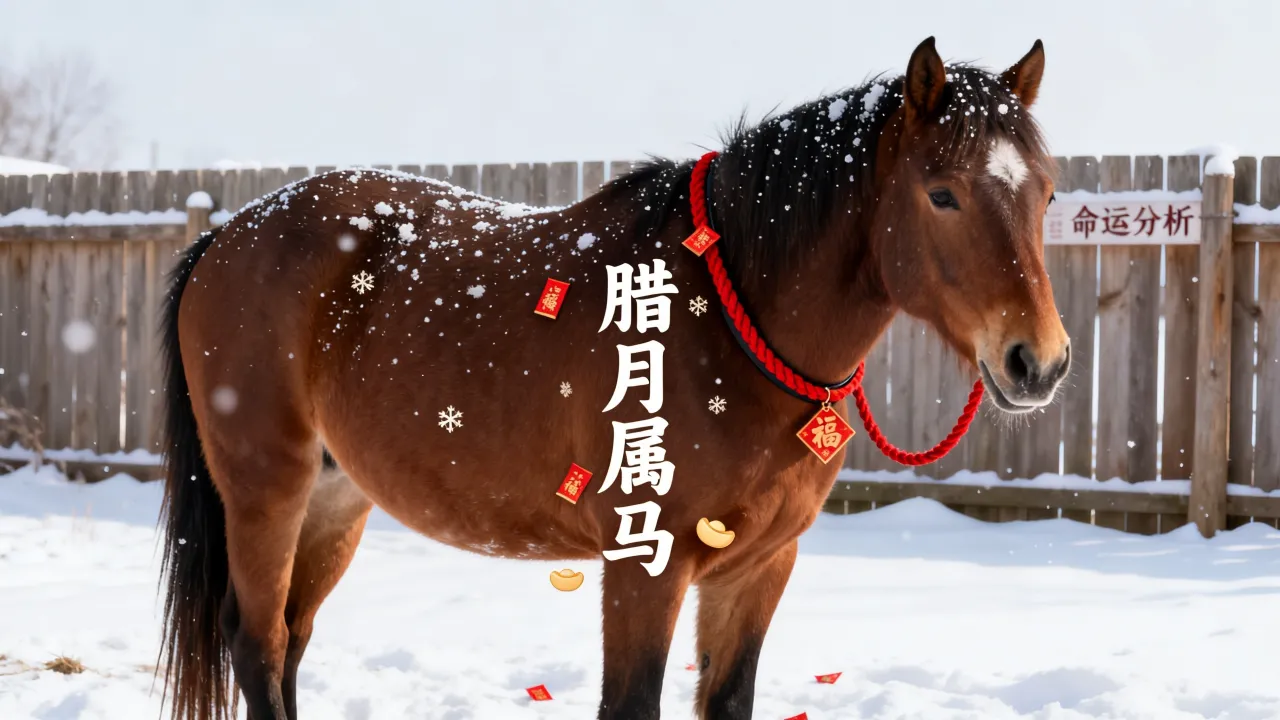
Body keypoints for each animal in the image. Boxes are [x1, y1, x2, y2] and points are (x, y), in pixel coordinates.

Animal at [157, 36, 1070, 720]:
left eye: (1048, 193)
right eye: (942, 194)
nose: (1039, 361)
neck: (722, 317)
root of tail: (227, 235)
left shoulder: (758, 569)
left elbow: (726, 701)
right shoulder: (644, 564)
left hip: (335, 497)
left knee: (291, 644)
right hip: (266, 489)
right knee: (258, 643)